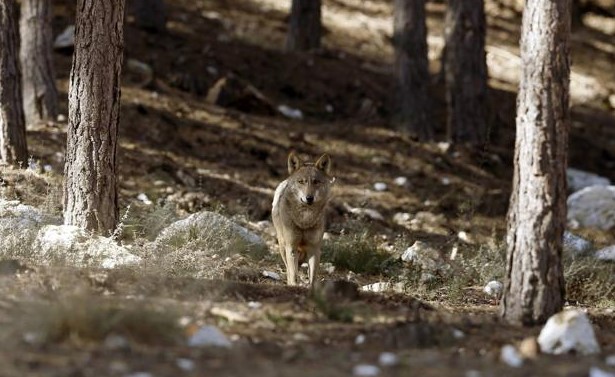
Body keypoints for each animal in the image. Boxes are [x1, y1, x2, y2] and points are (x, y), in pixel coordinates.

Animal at [272, 151, 334, 286]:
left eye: (316, 182)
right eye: (301, 181)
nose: (309, 198)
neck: (304, 220)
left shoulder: (314, 249)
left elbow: (312, 278)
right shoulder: (291, 247)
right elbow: (293, 275)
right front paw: (294, 285)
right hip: (283, 246)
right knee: (288, 270)